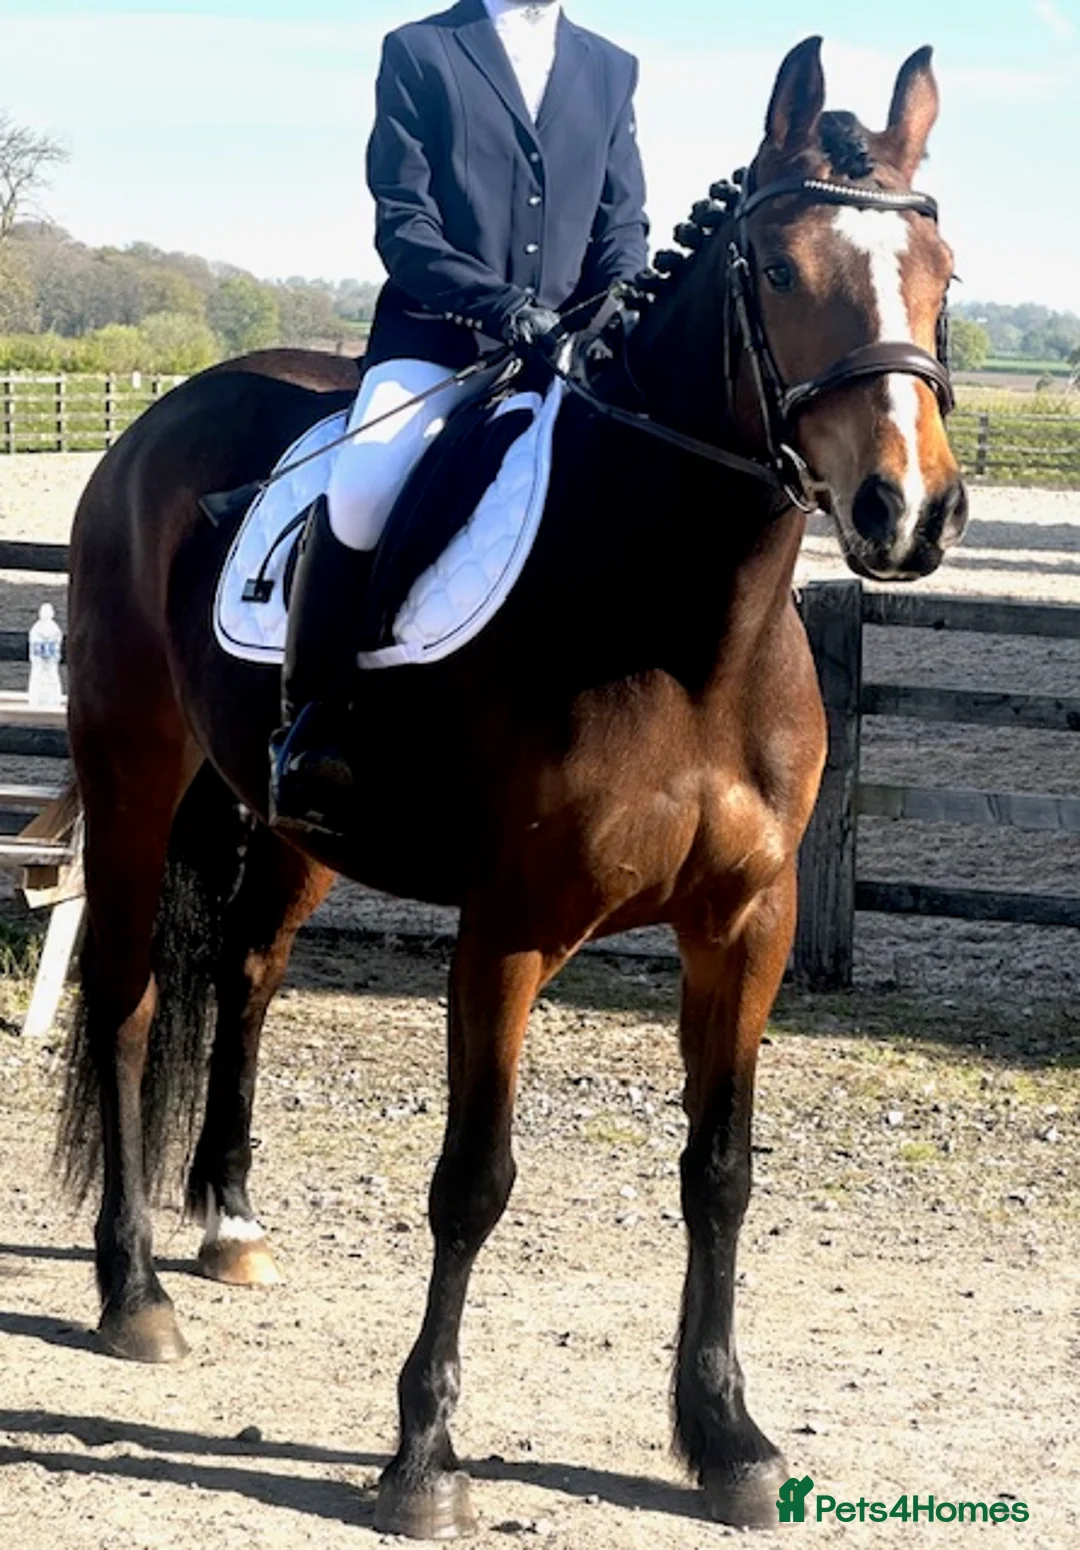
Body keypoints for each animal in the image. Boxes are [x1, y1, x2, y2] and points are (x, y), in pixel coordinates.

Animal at [58, 37, 965, 1535]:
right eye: (780, 271)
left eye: (942, 270)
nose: (911, 509)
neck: (685, 625)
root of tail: (161, 417)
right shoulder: (512, 929)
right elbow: (472, 1181)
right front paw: (425, 1454)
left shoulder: (748, 928)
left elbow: (720, 1173)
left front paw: (726, 1435)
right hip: (129, 773)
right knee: (128, 1003)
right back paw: (131, 1291)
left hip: (290, 823)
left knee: (243, 974)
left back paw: (228, 1220)